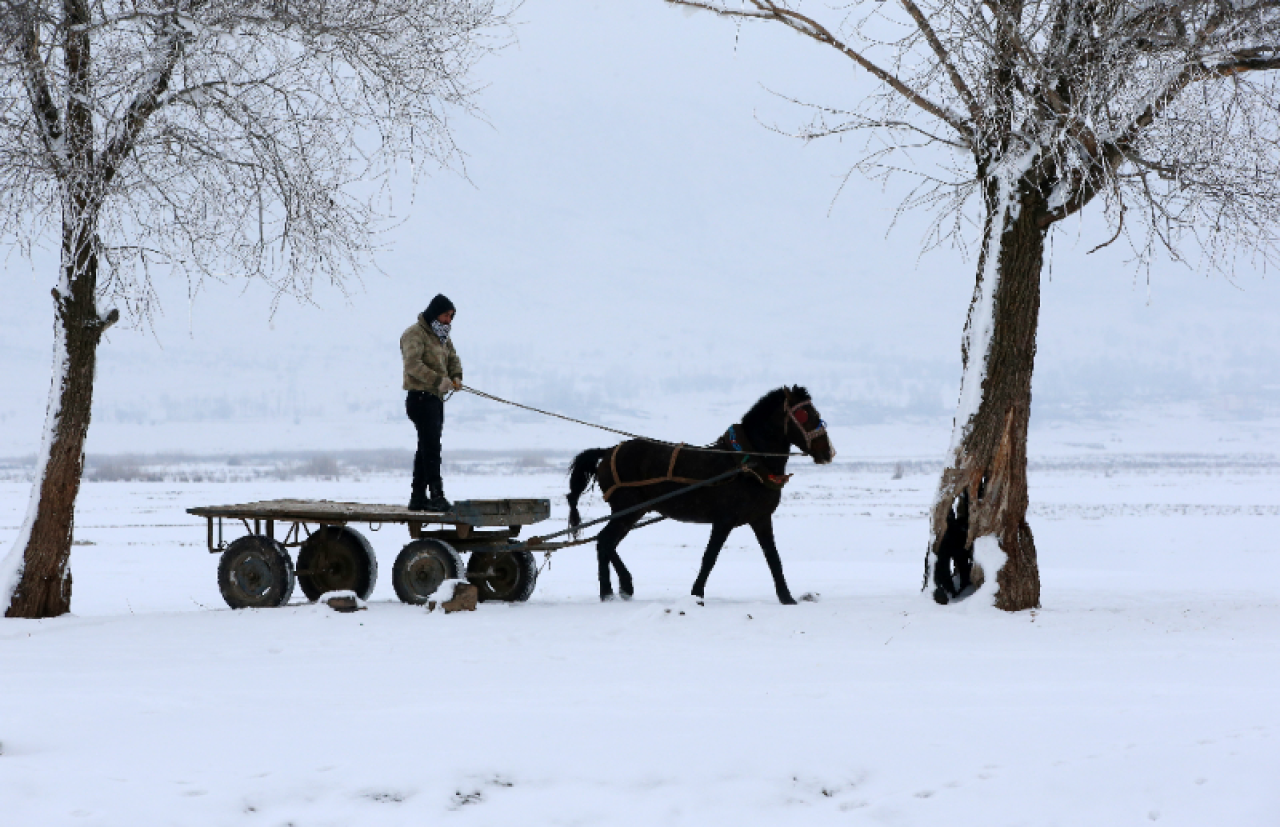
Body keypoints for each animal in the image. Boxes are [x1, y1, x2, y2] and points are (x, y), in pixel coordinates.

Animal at [570, 386, 839, 606]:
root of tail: (608, 451)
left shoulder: (761, 518)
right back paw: (609, 592)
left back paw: (622, 587)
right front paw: (696, 594)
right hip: (628, 509)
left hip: (633, 511)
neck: (747, 464)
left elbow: (773, 557)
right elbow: (709, 557)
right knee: (605, 541)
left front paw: (786, 597)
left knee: (607, 543)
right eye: (806, 415)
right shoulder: (724, 520)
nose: (828, 452)